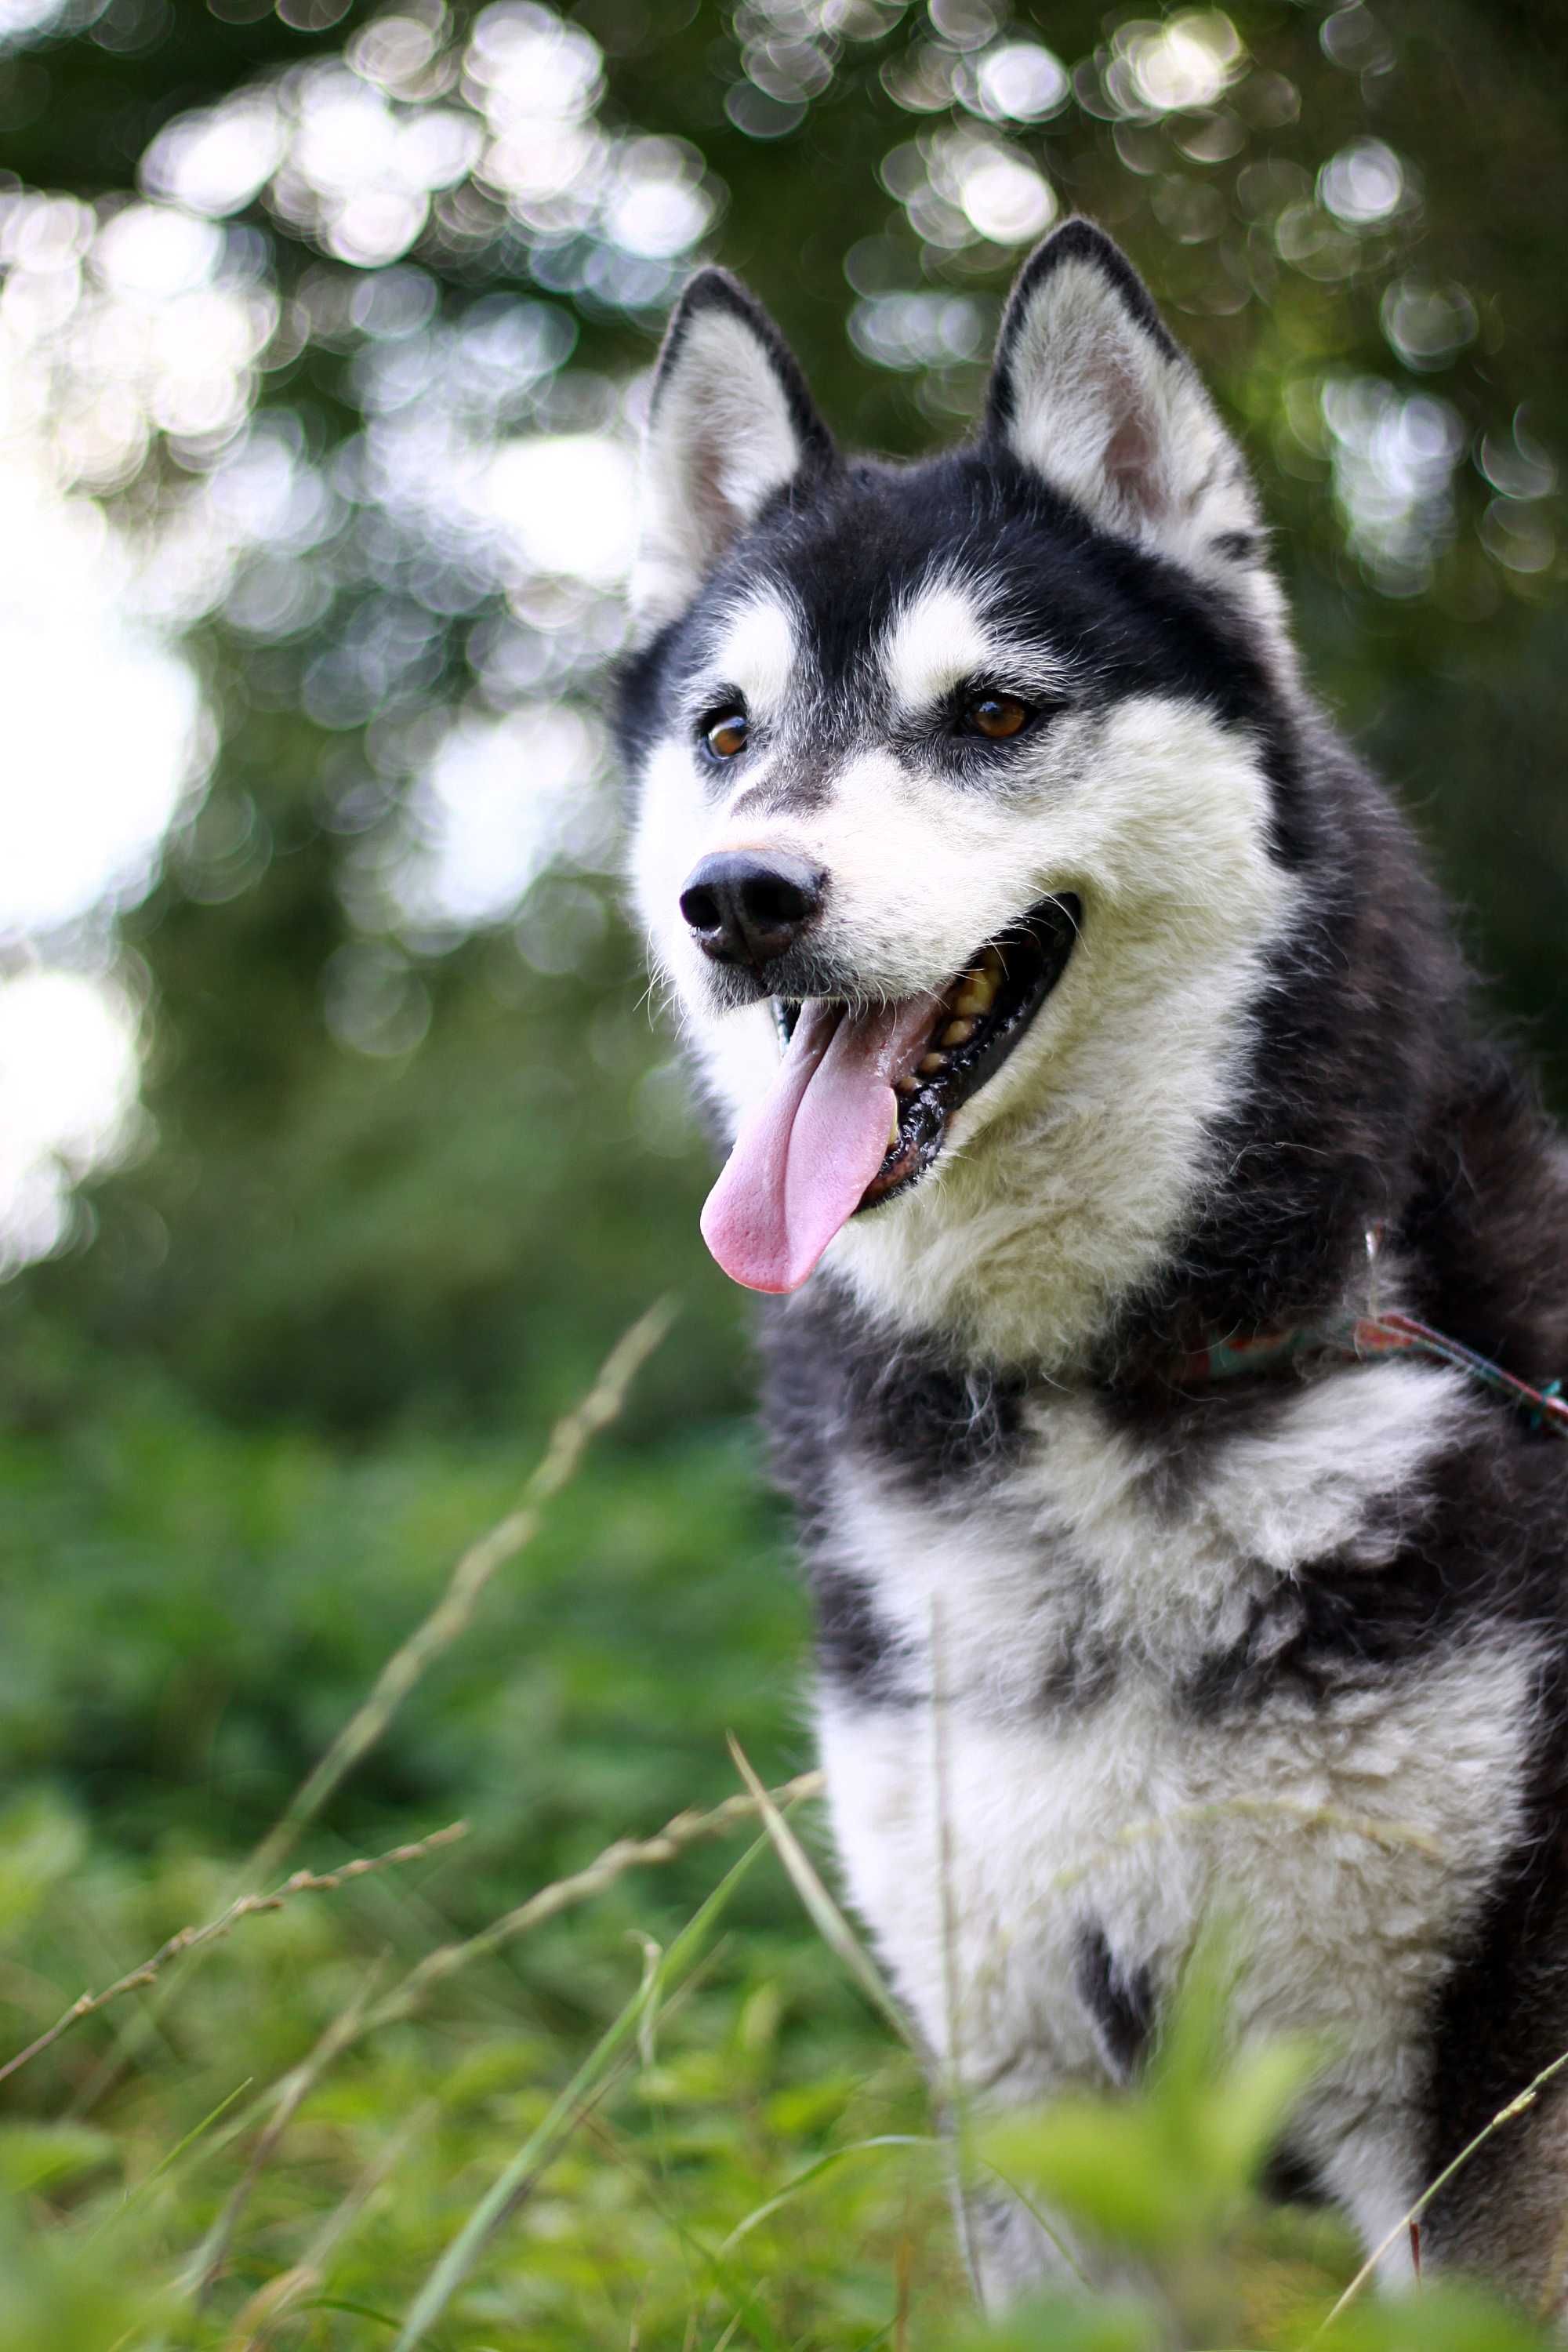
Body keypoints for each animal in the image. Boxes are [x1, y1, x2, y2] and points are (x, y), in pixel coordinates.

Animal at [620, 221, 1568, 2314]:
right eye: (726, 730)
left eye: (988, 714)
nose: (738, 898)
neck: (1090, 1389)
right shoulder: (1031, 2075)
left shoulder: (1468, 2105)